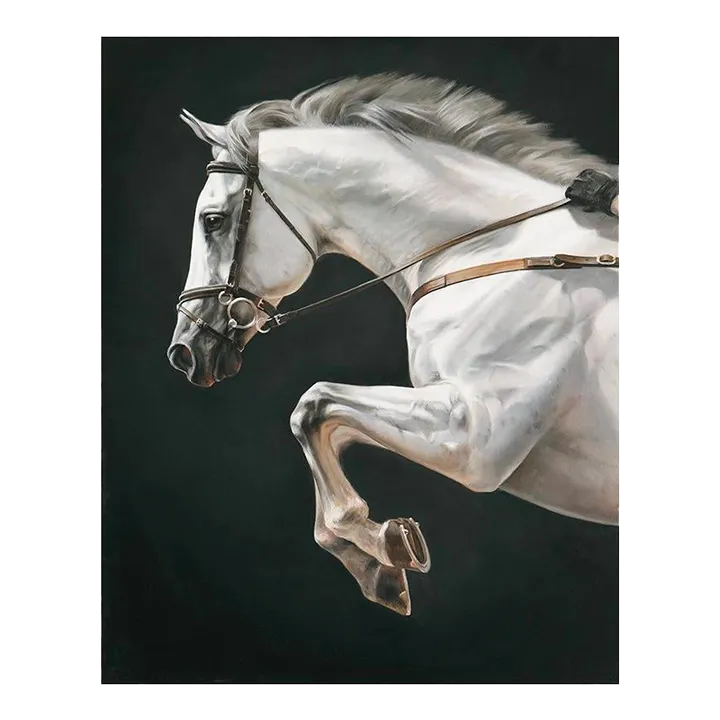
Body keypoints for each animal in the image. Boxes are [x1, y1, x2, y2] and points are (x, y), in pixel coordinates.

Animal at [166, 74, 620, 616]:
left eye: (212, 220)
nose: (184, 350)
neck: (500, 252)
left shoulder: (476, 437)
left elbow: (312, 405)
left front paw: (383, 546)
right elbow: (322, 423)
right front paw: (377, 562)